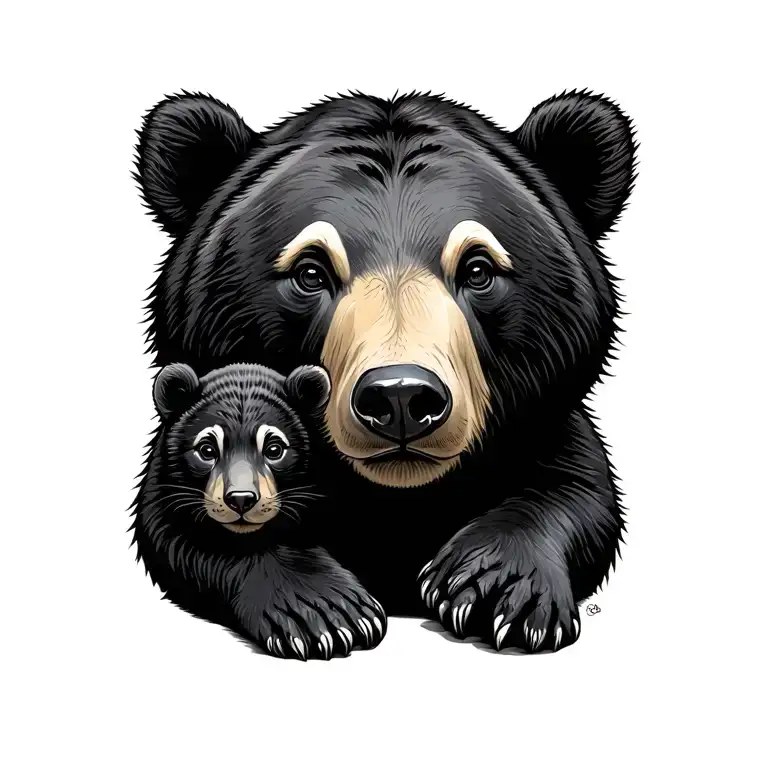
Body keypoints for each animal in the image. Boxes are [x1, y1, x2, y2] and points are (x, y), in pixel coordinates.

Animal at [132, 361, 387, 660]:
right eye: (206, 449)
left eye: (275, 448)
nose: (241, 499)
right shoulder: (163, 490)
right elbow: (177, 540)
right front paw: (324, 615)